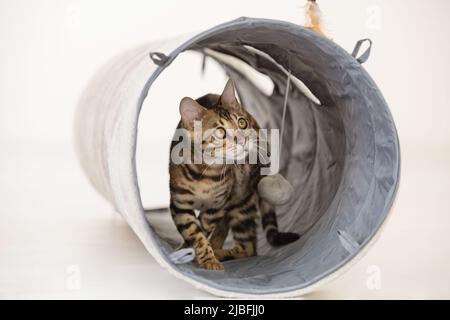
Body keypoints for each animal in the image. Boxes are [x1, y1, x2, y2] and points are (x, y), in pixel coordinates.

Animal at [169, 79, 298, 270]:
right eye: (220, 132)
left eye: (242, 123)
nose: (244, 139)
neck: (206, 174)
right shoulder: (179, 204)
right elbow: (195, 233)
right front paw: (195, 253)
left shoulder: (217, 206)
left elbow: (203, 228)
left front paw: (207, 257)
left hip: (241, 203)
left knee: (248, 247)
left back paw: (220, 252)